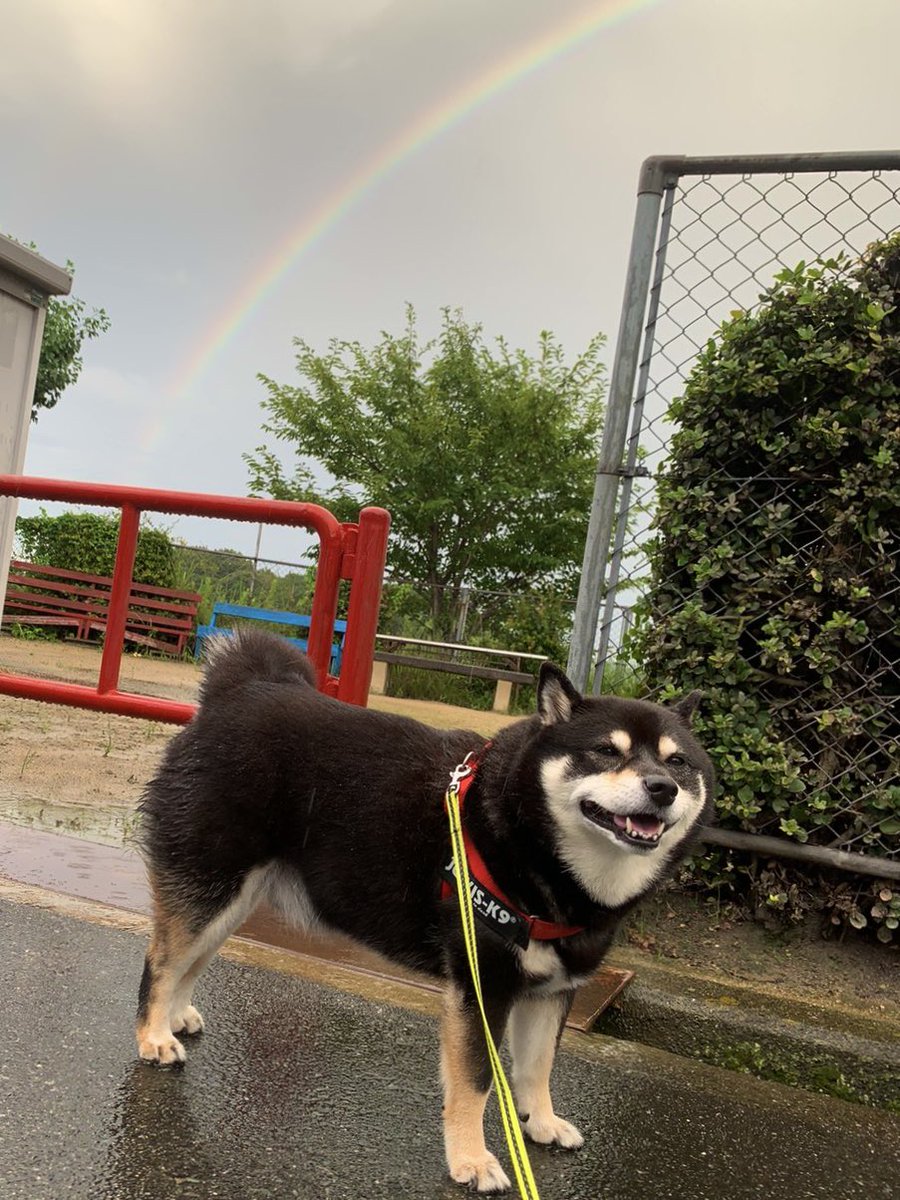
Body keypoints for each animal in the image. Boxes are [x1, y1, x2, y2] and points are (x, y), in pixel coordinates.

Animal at [137, 628, 715, 1190]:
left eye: (677, 762)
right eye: (605, 750)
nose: (661, 788)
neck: (531, 847)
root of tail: (235, 694)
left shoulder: (554, 989)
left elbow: (538, 1066)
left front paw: (542, 1121)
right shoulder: (482, 986)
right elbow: (478, 1079)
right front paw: (472, 1159)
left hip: (231, 897)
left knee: (192, 960)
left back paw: (174, 1017)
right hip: (211, 883)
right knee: (162, 962)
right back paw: (153, 1035)